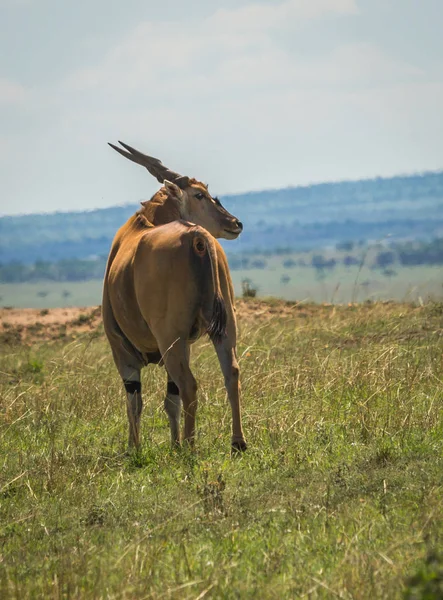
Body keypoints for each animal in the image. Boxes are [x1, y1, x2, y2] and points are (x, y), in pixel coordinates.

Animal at [104, 143, 248, 452]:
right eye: (200, 194)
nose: (236, 223)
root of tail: (197, 238)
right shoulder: (185, 345)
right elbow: (171, 400)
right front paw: (174, 444)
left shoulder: (122, 349)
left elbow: (135, 403)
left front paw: (135, 450)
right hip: (223, 329)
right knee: (231, 374)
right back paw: (237, 443)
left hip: (170, 338)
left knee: (190, 385)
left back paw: (191, 448)